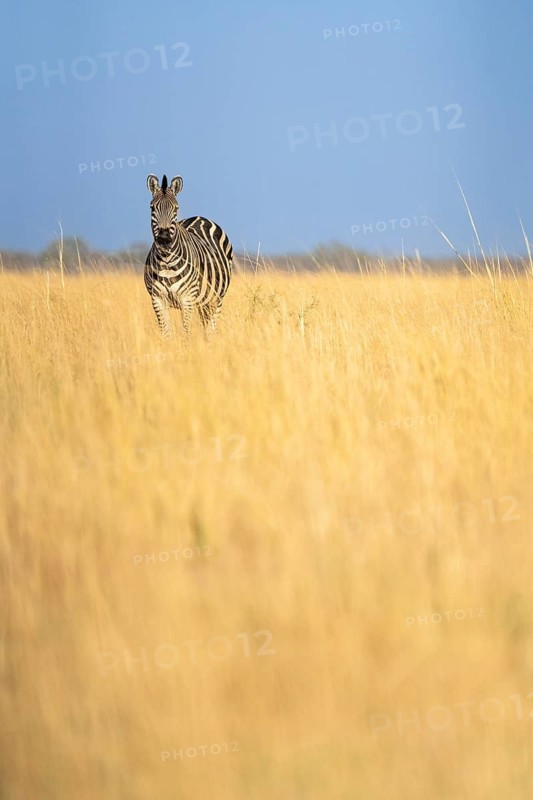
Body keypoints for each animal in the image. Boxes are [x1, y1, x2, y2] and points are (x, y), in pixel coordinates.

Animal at [145, 173, 232, 337]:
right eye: (152, 207)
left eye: (176, 208)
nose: (164, 238)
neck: (166, 260)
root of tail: (201, 217)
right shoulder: (157, 300)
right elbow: (166, 334)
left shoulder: (187, 299)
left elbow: (185, 333)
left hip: (217, 299)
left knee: (211, 329)